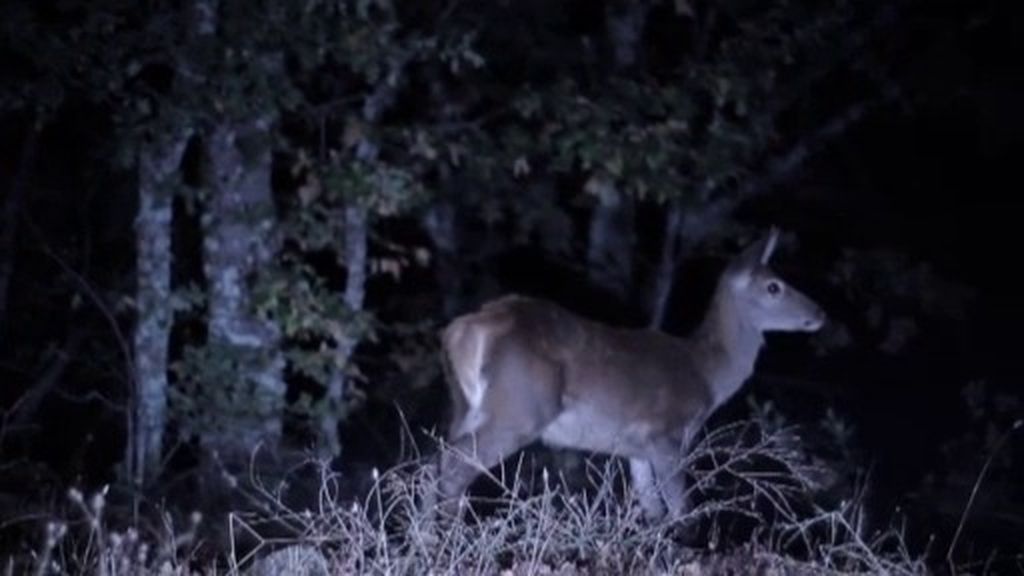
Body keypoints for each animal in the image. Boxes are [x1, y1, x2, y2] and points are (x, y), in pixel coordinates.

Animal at [430, 227, 823, 520]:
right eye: (774, 287)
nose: (820, 313)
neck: (705, 371)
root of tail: (462, 331)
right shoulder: (667, 434)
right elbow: (682, 511)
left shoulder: (637, 447)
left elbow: (653, 512)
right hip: (520, 407)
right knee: (454, 467)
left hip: (464, 407)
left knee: (438, 462)